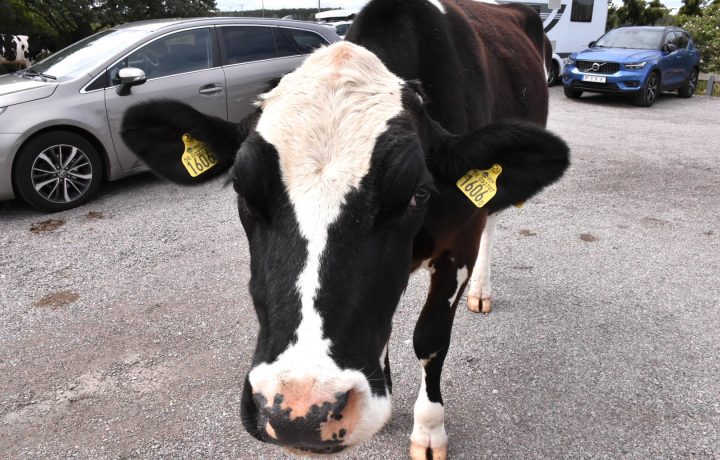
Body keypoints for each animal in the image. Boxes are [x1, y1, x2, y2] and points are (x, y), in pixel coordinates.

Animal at [121, 0, 572, 456]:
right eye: (241, 190)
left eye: (417, 192)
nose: (300, 411)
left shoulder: (459, 240)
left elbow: (429, 341)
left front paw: (429, 429)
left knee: (492, 222)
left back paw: (480, 291)